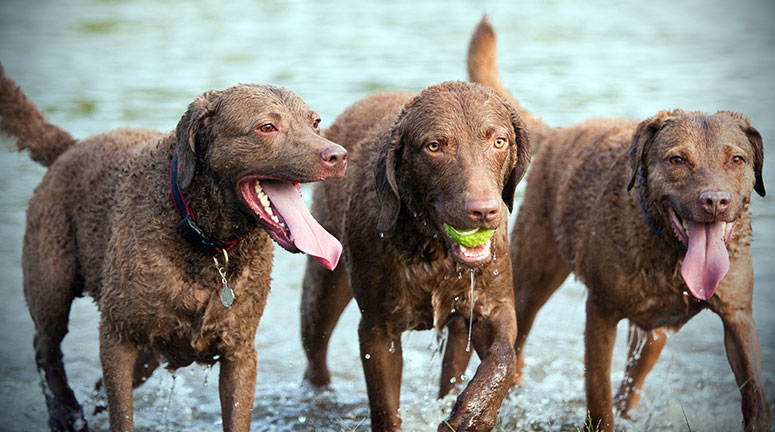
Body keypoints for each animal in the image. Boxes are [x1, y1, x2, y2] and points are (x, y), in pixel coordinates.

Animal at [0, 65, 346, 432]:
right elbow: (122, 415)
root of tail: (71, 147)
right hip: (52, 283)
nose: (338, 155)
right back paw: (64, 411)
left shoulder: (240, 353)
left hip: (148, 354)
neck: (205, 241)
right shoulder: (117, 337)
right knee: (45, 346)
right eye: (267, 127)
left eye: (315, 122)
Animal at [300, 82, 532, 432]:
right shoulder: (378, 330)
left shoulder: (493, 305)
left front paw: (473, 415)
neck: (433, 252)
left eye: (499, 141)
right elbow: (385, 410)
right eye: (434, 146)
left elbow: (503, 357)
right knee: (315, 352)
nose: (483, 211)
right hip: (324, 287)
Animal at [466, 17, 768, 432]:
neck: (669, 253)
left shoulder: (739, 316)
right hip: (531, 279)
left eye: (737, 159)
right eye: (677, 160)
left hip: (652, 334)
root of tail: (560, 133)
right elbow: (599, 398)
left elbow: (754, 392)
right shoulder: (600, 313)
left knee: (634, 377)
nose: (715, 201)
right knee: (519, 340)